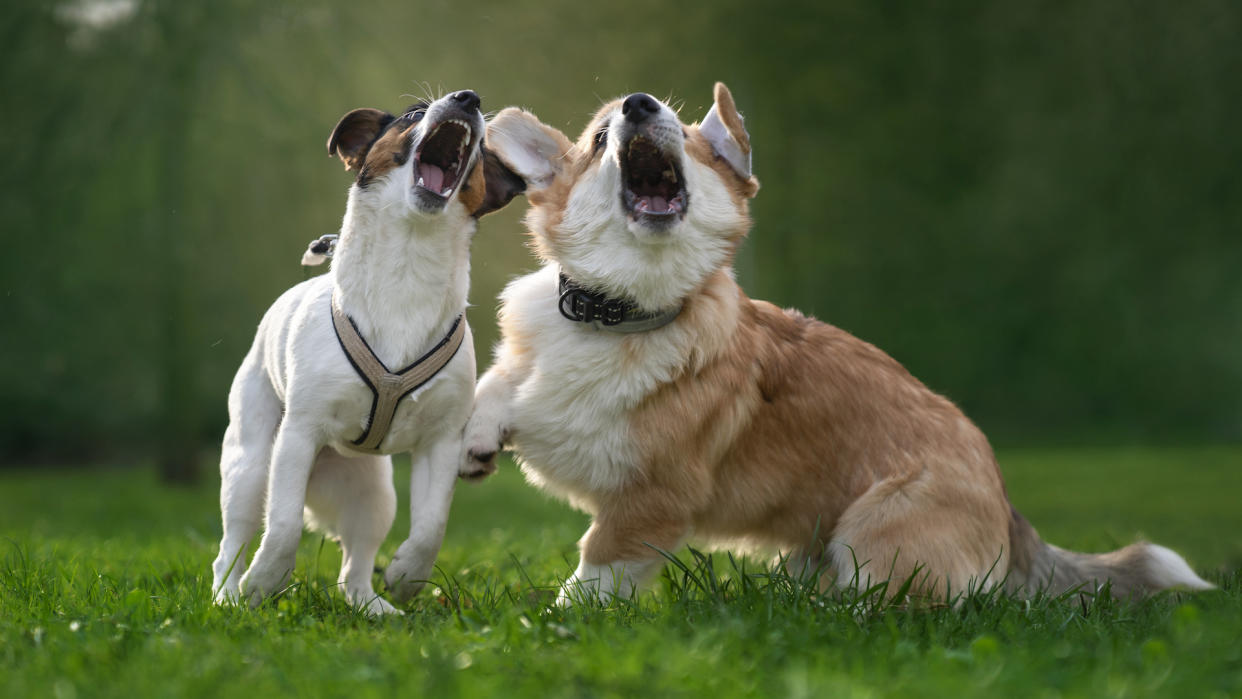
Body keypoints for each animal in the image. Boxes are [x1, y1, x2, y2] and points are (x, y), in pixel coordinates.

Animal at [212, 90, 519, 615]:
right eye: (414, 114)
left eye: (480, 150)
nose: (468, 99)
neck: (407, 268)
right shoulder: (298, 435)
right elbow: (284, 525)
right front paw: (265, 581)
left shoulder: (442, 441)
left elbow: (431, 527)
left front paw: (406, 575)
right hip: (249, 465)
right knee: (234, 540)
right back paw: (230, 596)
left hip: (374, 492)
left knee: (354, 564)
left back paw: (372, 605)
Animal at [466, 81, 1212, 603]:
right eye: (599, 138)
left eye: (686, 135)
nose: (640, 105)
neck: (615, 314)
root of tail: (1009, 510)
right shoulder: (527, 369)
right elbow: (498, 383)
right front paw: (476, 437)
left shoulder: (652, 498)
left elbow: (598, 568)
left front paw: (561, 622)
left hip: (877, 527)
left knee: (892, 606)